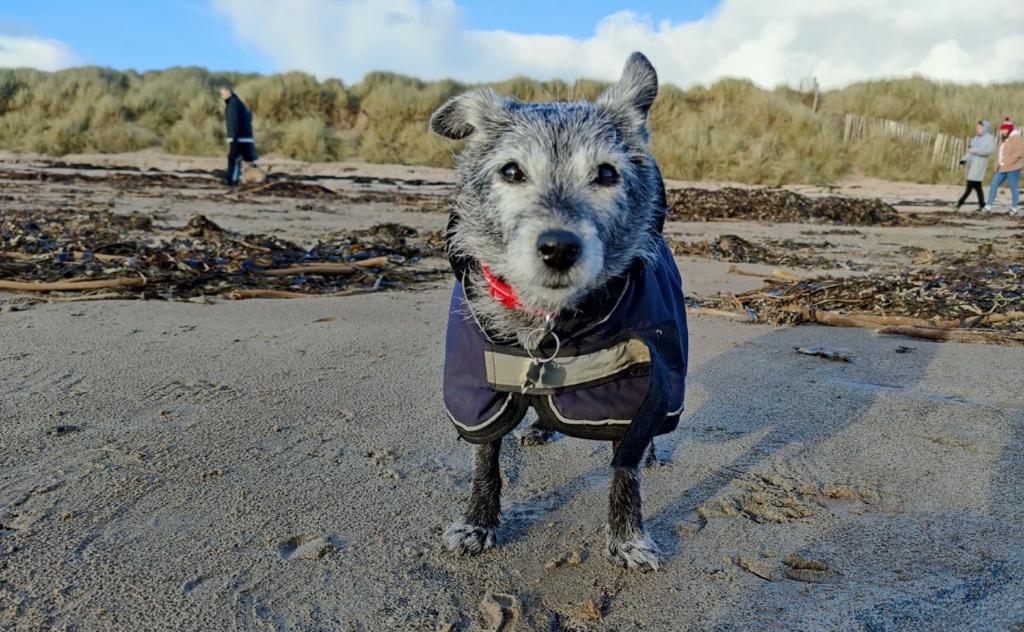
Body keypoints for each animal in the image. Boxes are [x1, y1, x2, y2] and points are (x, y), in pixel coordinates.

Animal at [432, 51, 688, 569]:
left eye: (606, 173)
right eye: (511, 172)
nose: (558, 248)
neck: (548, 319)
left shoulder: (635, 382)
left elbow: (625, 466)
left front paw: (628, 536)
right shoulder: (478, 386)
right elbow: (485, 459)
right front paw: (477, 522)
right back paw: (539, 429)